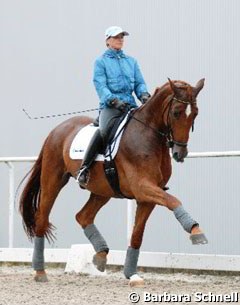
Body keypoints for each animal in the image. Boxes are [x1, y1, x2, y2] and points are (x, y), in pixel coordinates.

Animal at [19, 78, 206, 284]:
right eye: (176, 112)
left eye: (195, 113)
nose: (180, 153)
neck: (148, 136)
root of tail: (57, 129)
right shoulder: (143, 187)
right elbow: (173, 200)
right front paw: (196, 231)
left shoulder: (147, 197)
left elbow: (137, 235)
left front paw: (131, 274)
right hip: (53, 180)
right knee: (42, 218)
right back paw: (40, 271)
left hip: (102, 190)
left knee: (83, 216)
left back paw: (101, 255)